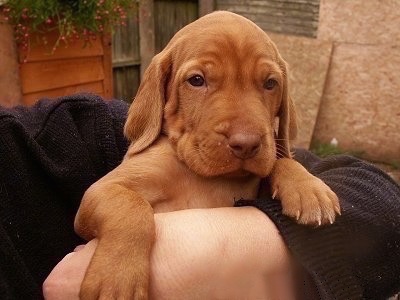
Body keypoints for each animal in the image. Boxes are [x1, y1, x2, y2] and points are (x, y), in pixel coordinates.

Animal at [73, 10, 340, 298]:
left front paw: (308, 188)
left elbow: (280, 161)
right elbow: (130, 207)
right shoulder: (102, 190)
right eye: (197, 80)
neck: (201, 176)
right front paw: (117, 278)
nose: (246, 144)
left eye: (270, 83)